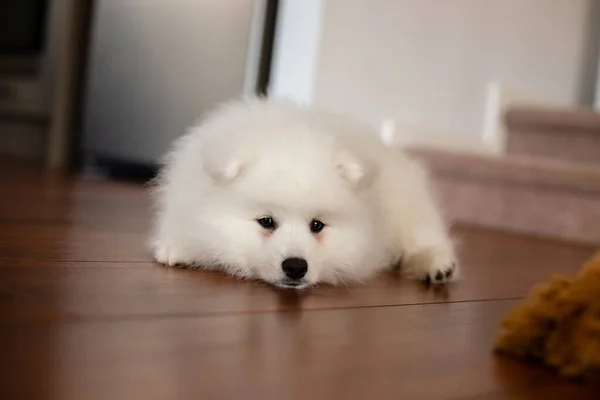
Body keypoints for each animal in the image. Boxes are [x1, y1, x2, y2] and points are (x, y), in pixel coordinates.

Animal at [152, 98, 458, 290]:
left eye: (317, 225)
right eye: (266, 221)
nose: (296, 267)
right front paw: (177, 246)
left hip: (409, 204)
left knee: (424, 235)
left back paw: (437, 266)